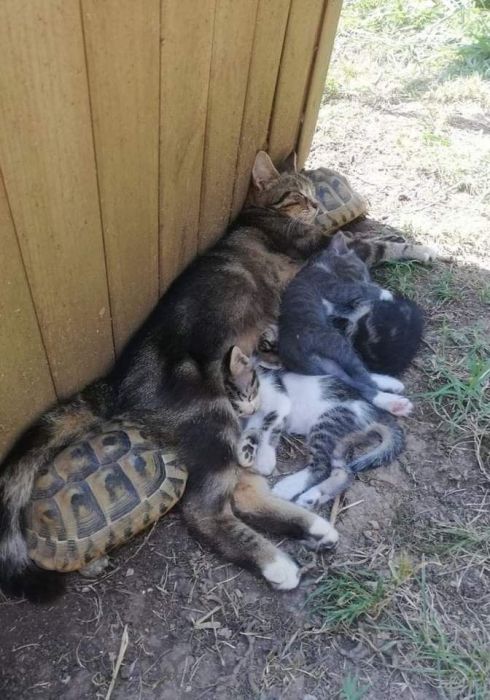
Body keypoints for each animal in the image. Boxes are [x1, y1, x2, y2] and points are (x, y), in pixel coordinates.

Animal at [233, 357, 405, 509]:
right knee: (344, 472)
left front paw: (264, 461)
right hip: (338, 441)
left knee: (321, 467)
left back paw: (287, 488)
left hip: (326, 423)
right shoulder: (254, 417)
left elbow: (269, 427)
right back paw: (311, 497)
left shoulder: (280, 400)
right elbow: (253, 429)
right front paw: (246, 449)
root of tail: (373, 413)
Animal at [278, 231, 413, 417]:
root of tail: (295, 357)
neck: (321, 266)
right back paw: (392, 400)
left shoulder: (340, 307)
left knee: (354, 379)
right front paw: (386, 294)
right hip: (335, 343)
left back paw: (390, 385)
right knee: (362, 381)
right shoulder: (333, 287)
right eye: (362, 270)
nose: (369, 279)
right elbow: (357, 289)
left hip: (327, 365)